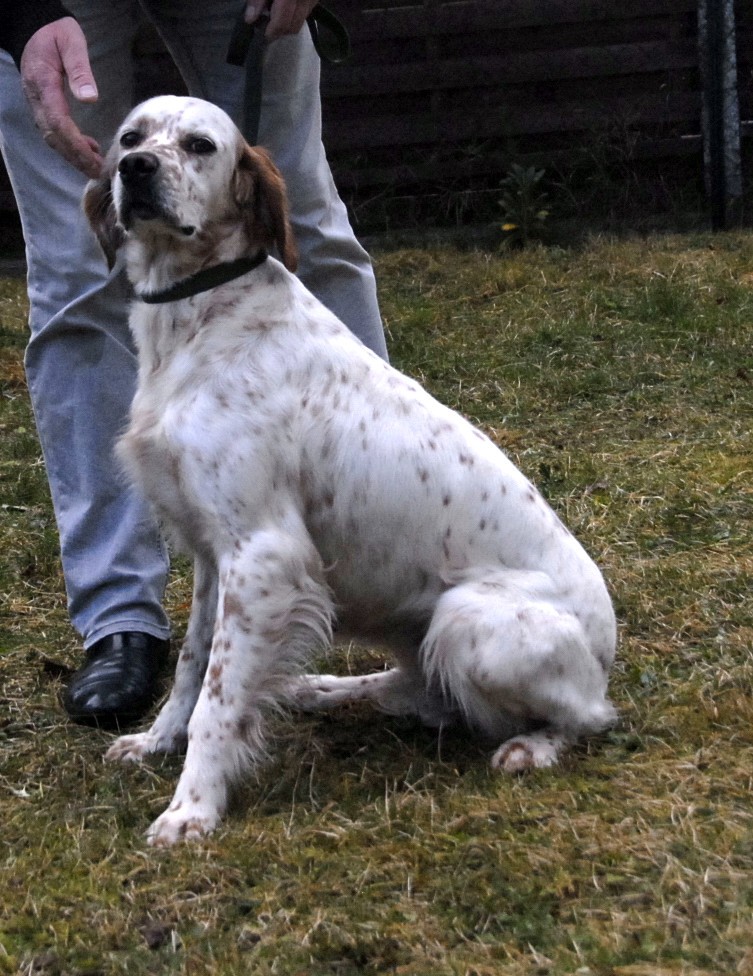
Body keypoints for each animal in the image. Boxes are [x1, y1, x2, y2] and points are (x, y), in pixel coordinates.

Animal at [85, 99, 616, 848]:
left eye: (198, 145)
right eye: (130, 137)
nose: (135, 169)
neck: (200, 317)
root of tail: (606, 649)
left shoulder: (263, 553)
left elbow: (219, 698)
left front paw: (193, 808)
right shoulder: (213, 555)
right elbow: (192, 666)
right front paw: (157, 741)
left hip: (468, 618)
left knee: (587, 717)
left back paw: (531, 747)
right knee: (420, 692)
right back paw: (317, 688)